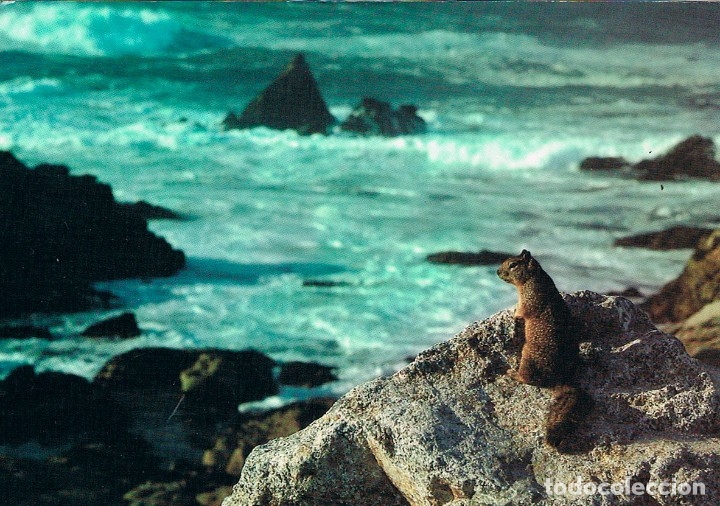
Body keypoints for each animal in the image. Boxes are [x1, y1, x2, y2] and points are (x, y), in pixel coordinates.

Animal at [497, 249, 592, 450]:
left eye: (513, 265)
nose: (497, 271)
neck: (534, 277)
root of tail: (561, 378)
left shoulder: (529, 299)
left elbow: (521, 311)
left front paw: (512, 313)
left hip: (527, 356)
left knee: (529, 379)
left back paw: (512, 373)